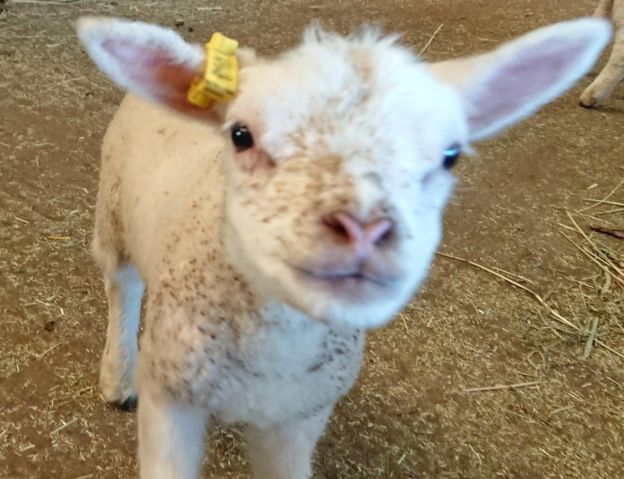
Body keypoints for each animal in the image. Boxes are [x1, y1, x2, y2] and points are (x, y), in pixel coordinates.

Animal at [77, 16, 608, 478]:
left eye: (450, 155)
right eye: (241, 135)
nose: (364, 227)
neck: (272, 357)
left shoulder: (299, 416)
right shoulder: (172, 400)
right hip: (113, 215)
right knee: (122, 288)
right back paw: (118, 376)